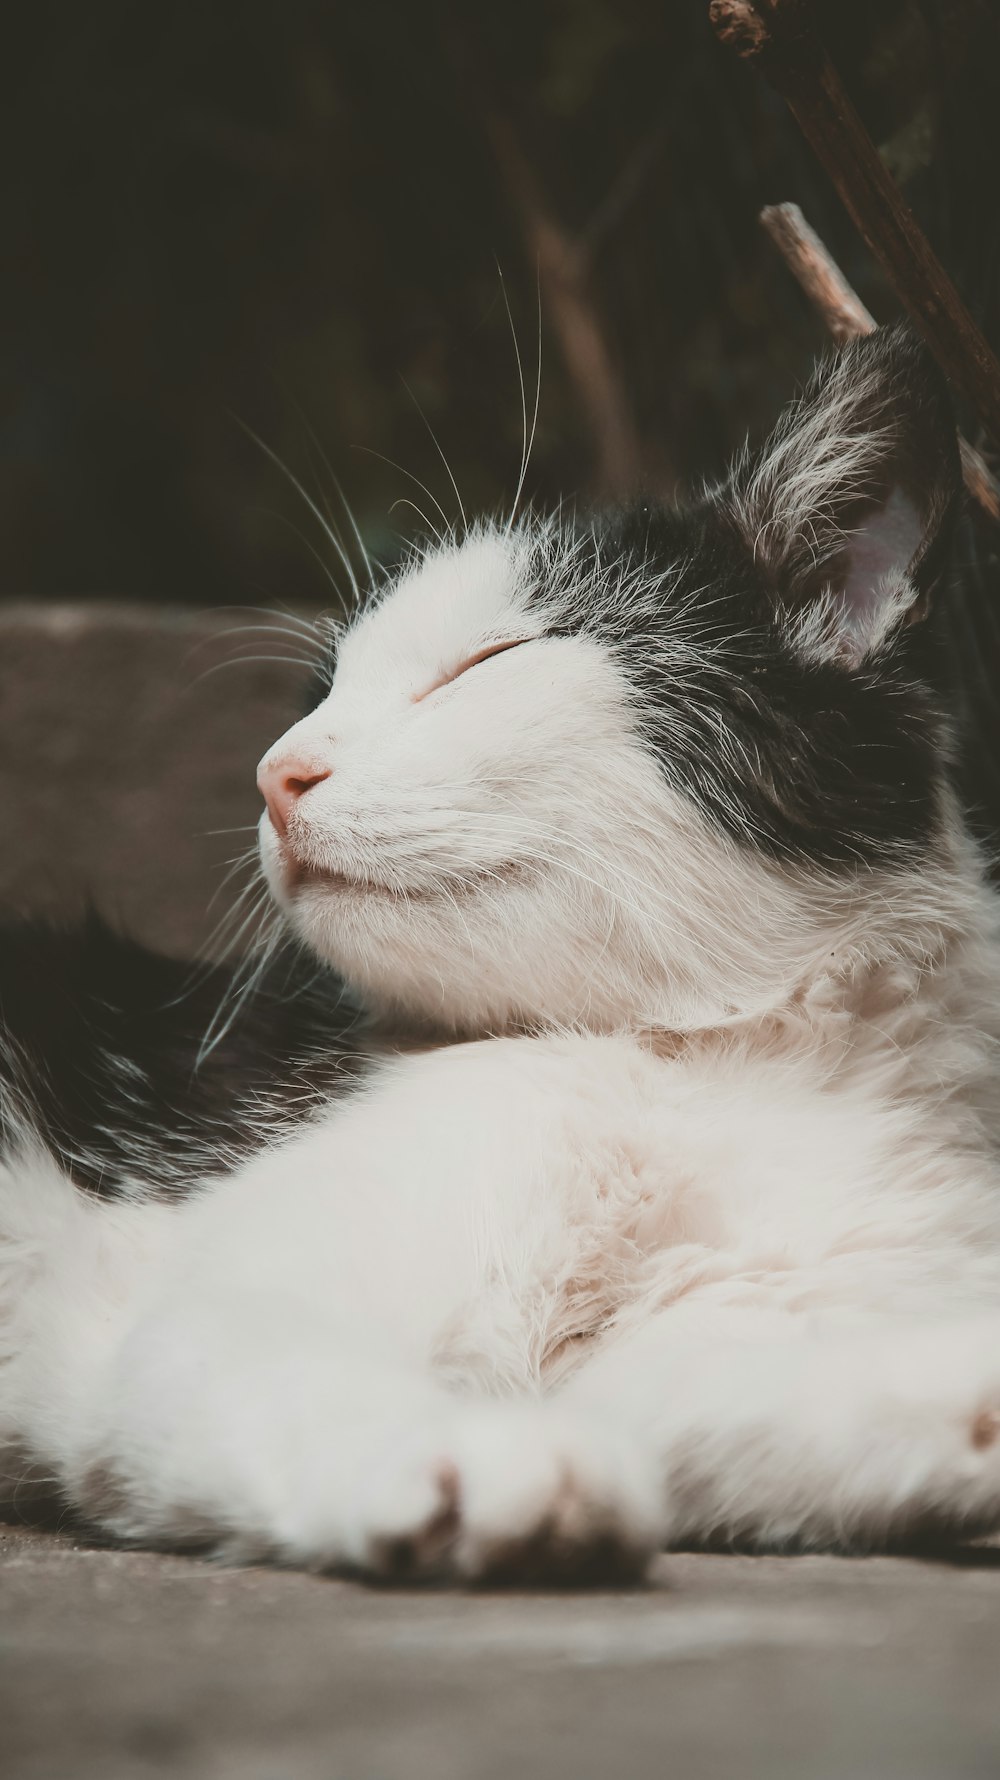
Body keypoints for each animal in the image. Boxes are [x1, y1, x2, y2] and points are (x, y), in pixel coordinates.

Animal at [1, 327, 996, 1580]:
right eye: (323, 691)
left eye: (484, 662)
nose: (276, 773)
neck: (721, 1055)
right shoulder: (200, 1311)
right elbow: (295, 1371)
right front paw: (482, 1460)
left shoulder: (699, 1341)